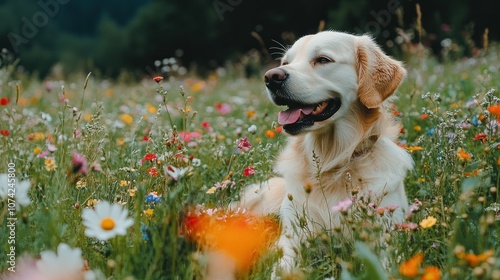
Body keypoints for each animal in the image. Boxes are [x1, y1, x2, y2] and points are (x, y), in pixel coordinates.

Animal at [237, 30, 414, 276]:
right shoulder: (292, 237)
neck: (332, 161)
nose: (271, 77)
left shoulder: (386, 235)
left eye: (323, 59)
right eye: (285, 63)